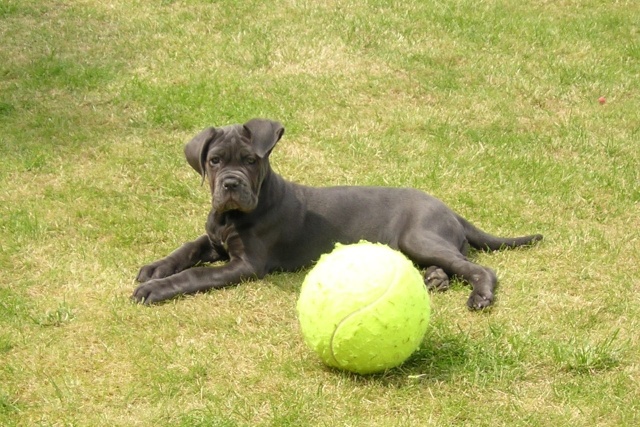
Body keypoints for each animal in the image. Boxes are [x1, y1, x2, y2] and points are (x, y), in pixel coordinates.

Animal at [132, 118, 544, 310]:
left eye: (251, 160)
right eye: (215, 161)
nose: (231, 184)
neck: (232, 216)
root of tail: (452, 210)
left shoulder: (245, 263)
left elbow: (196, 274)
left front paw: (155, 288)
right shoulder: (215, 240)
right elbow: (188, 248)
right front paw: (155, 269)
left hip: (418, 236)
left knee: (478, 267)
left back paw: (479, 296)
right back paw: (435, 279)